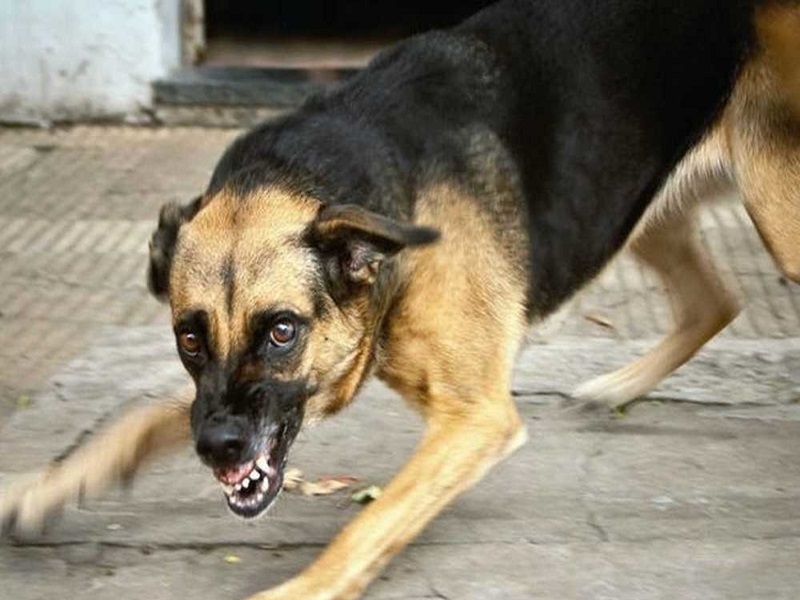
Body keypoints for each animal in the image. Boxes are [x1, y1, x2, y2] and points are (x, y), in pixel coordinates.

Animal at [1, 1, 800, 600]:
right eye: (189, 337)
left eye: (283, 330)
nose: (218, 450)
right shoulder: (232, 400)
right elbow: (136, 422)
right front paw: (45, 488)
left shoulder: (473, 419)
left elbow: (369, 522)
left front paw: (302, 589)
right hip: (630, 206)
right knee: (715, 301)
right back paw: (618, 387)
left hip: (772, 217)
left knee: (719, 297)